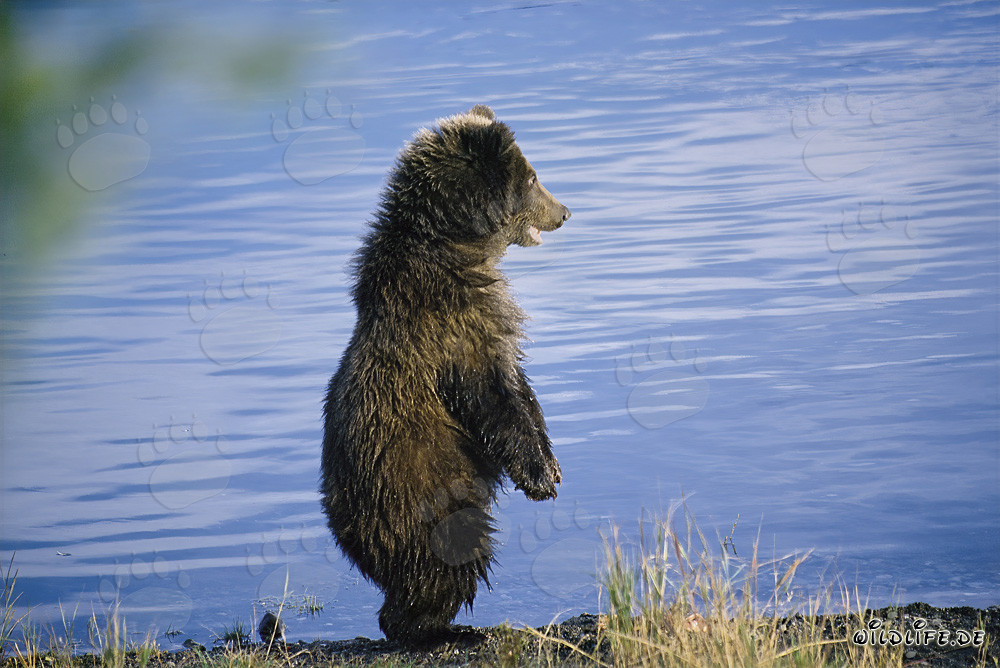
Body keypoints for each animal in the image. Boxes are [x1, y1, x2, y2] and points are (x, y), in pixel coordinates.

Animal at [320, 104, 570, 647]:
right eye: (533, 178)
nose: (565, 211)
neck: (458, 247)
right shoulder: (453, 325)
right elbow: (491, 395)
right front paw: (540, 477)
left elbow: (519, 382)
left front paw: (553, 461)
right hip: (422, 487)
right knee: (449, 552)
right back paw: (441, 630)